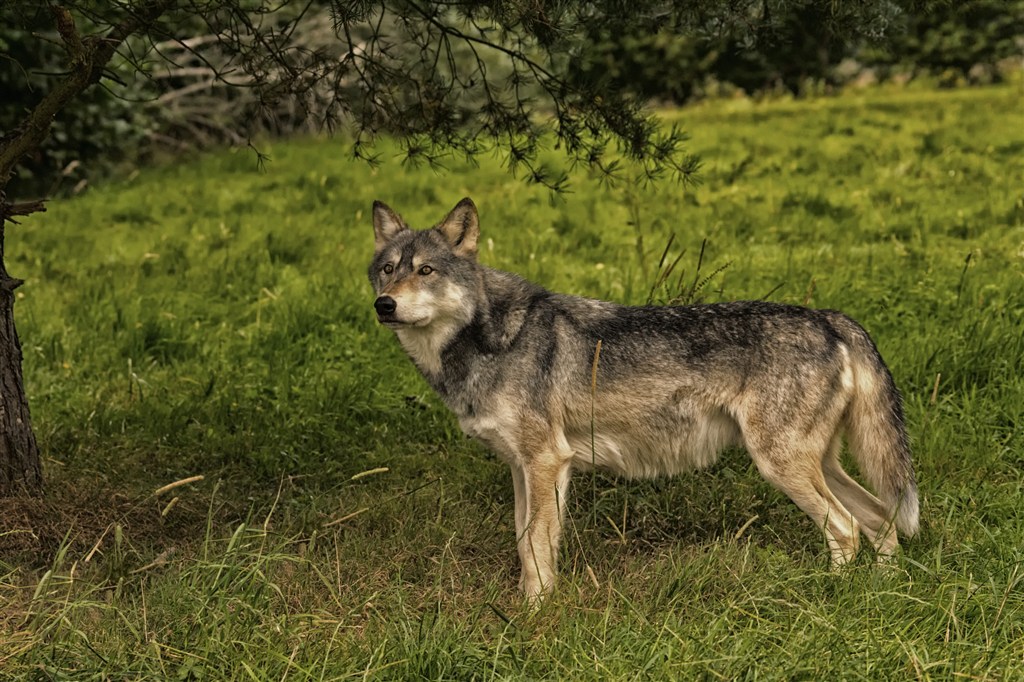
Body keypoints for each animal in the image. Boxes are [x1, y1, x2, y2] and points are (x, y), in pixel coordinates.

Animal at [368, 196, 921, 602]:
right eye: (387, 269)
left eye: (426, 271)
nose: (384, 304)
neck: (487, 339)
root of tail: (829, 317)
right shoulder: (521, 469)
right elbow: (524, 543)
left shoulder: (547, 462)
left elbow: (537, 551)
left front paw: (534, 618)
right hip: (818, 465)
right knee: (882, 522)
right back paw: (883, 595)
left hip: (782, 466)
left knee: (847, 529)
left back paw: (832, 597)